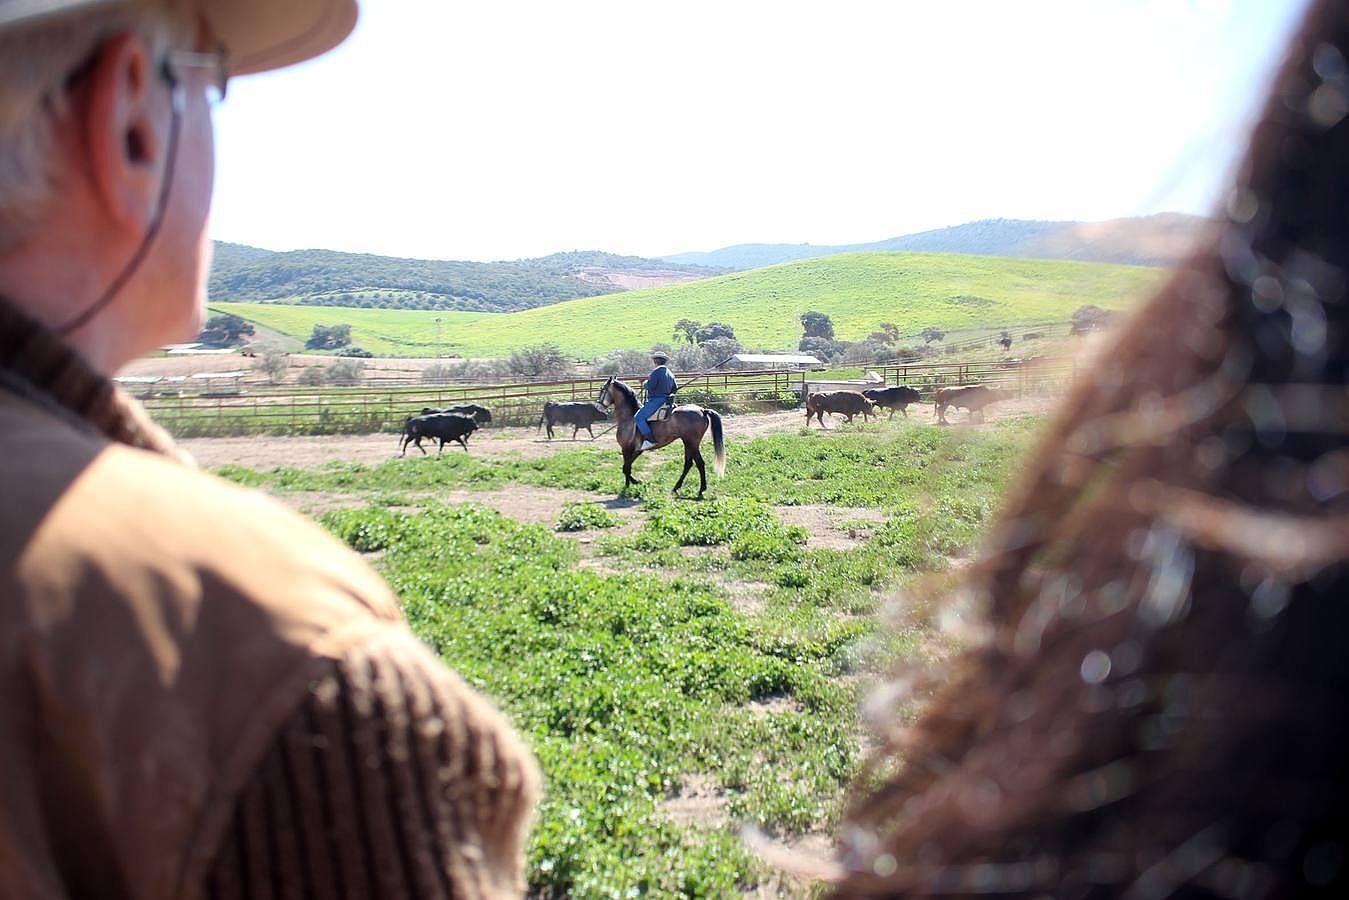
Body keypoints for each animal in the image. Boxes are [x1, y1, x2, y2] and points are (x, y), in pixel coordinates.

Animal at [598, 375, 728, 499]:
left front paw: (628, 486)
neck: (629, 417)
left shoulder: (626, 448)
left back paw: (701, 490)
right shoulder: (637, 450)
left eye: (602, 389)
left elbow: (626, 468)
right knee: (688, 464)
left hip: (691, 443)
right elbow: (626, 467)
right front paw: (636, 482)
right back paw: (677, 487)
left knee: (699, 463)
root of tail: (702, 410)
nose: (598, 406)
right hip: (688, 443)